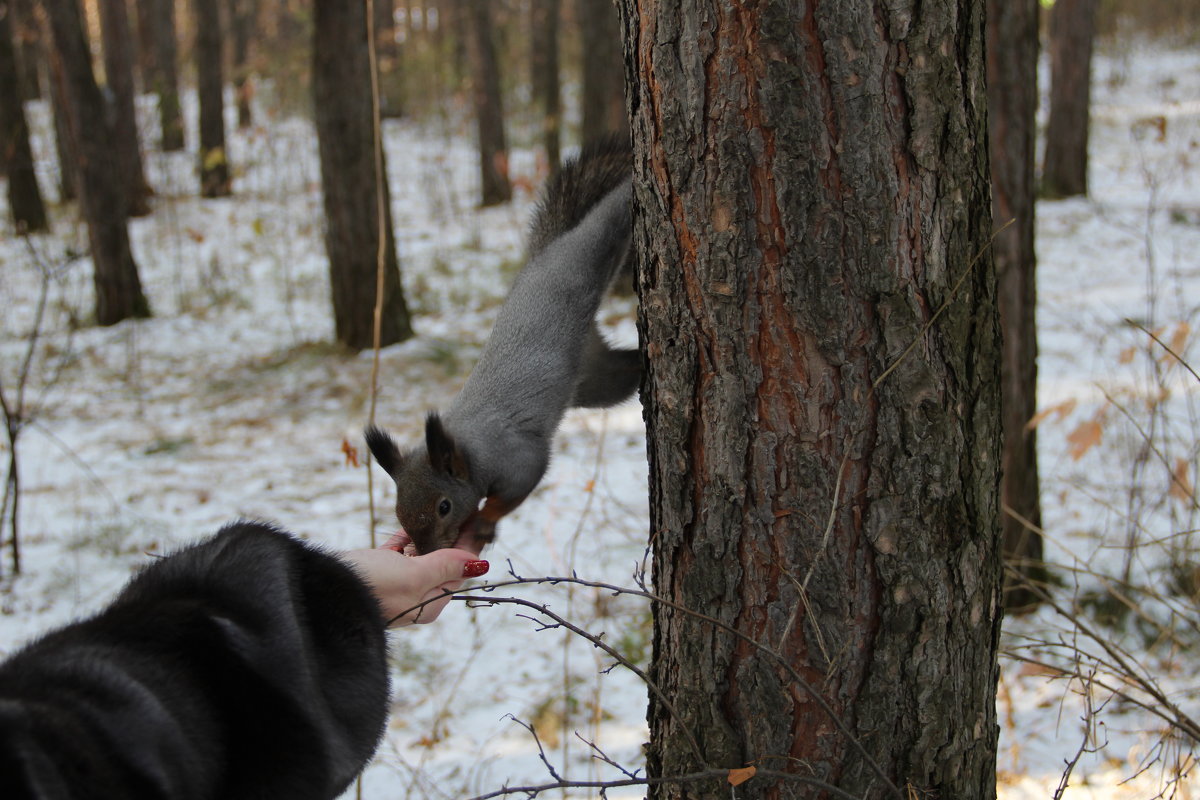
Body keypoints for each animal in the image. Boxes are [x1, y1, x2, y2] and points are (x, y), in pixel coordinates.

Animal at [367, 137, 638, 554]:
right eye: (398, 511)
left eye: (444, 506)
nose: (425, 551)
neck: (466, 446)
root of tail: (539, 259)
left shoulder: (518, 459)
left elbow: (517, 488)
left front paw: (484, 521)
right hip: (597, 380)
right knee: (624, 371)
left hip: (585, 254)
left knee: (605, 222)